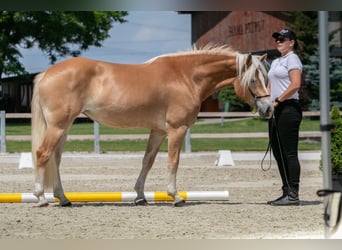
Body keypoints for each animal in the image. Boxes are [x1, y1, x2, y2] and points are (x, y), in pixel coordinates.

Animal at [30, 45, 274, 207]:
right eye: (253, 80)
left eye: (266, 78)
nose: (268, 109)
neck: (185, 77)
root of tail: (46, 74)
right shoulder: (176, 129)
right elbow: (173, 162)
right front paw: (176, 196)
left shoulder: (158, 131)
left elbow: (147, 161)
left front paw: (140, 196)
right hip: (58, 126)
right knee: (43, 154)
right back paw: (41, 197)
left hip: (64, 127)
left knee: (56, 159)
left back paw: (63, 198)